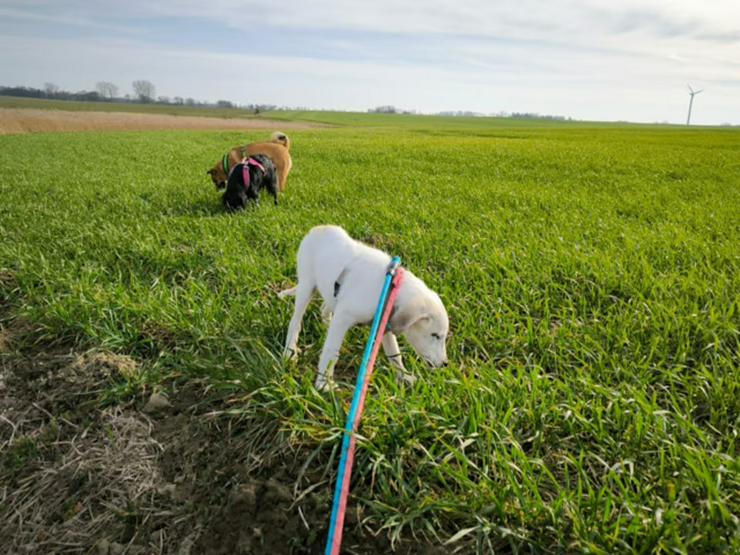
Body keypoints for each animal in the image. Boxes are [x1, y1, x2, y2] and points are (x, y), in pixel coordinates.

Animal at [278, 226, 448, 390]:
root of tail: (317, 228)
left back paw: (325, 325)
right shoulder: (344, 317)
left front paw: (404, 377)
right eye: (435, 335)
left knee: (324, 308)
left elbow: (394, 353)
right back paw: (290, 351)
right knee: (295, 322)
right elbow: (332, 351)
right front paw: (324, 383)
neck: (389, 289)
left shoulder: (384, 324)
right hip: (306, 285)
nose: (445, 364)